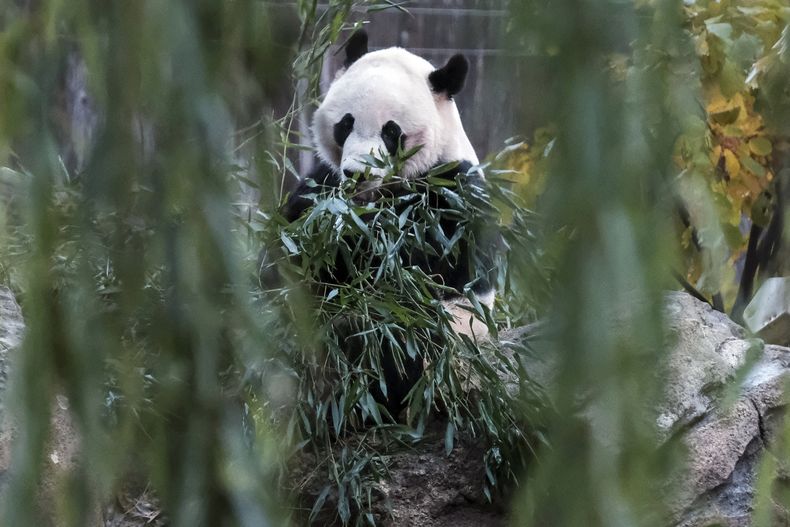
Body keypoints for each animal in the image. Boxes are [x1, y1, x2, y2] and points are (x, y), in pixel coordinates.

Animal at [280, 30, 496, 417]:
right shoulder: (324, 180)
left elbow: (423, 267)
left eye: (391, 132)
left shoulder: (450, 195)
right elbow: (297, 250)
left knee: (394, 343)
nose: (358, 173)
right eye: (346, 123)